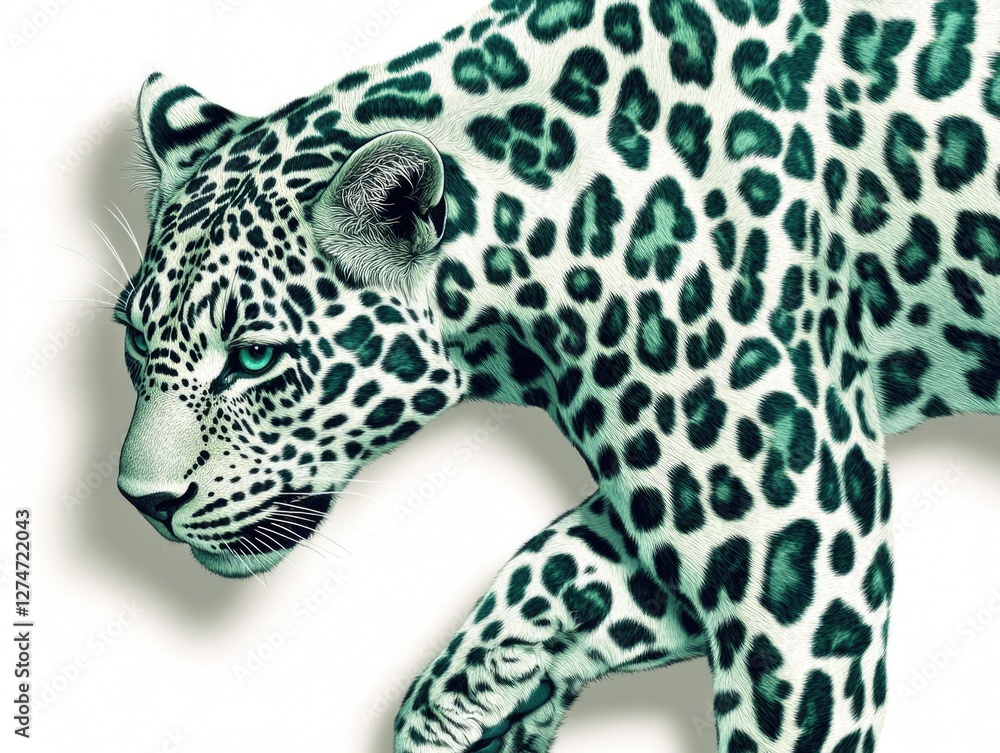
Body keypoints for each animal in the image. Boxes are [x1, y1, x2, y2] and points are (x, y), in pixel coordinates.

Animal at [112, 0, 1000, 751]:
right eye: (134, 342)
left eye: (253, 356)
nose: (143, 504)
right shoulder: (698, 500)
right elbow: (566, 562)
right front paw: (466, 702)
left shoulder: (802, 535)